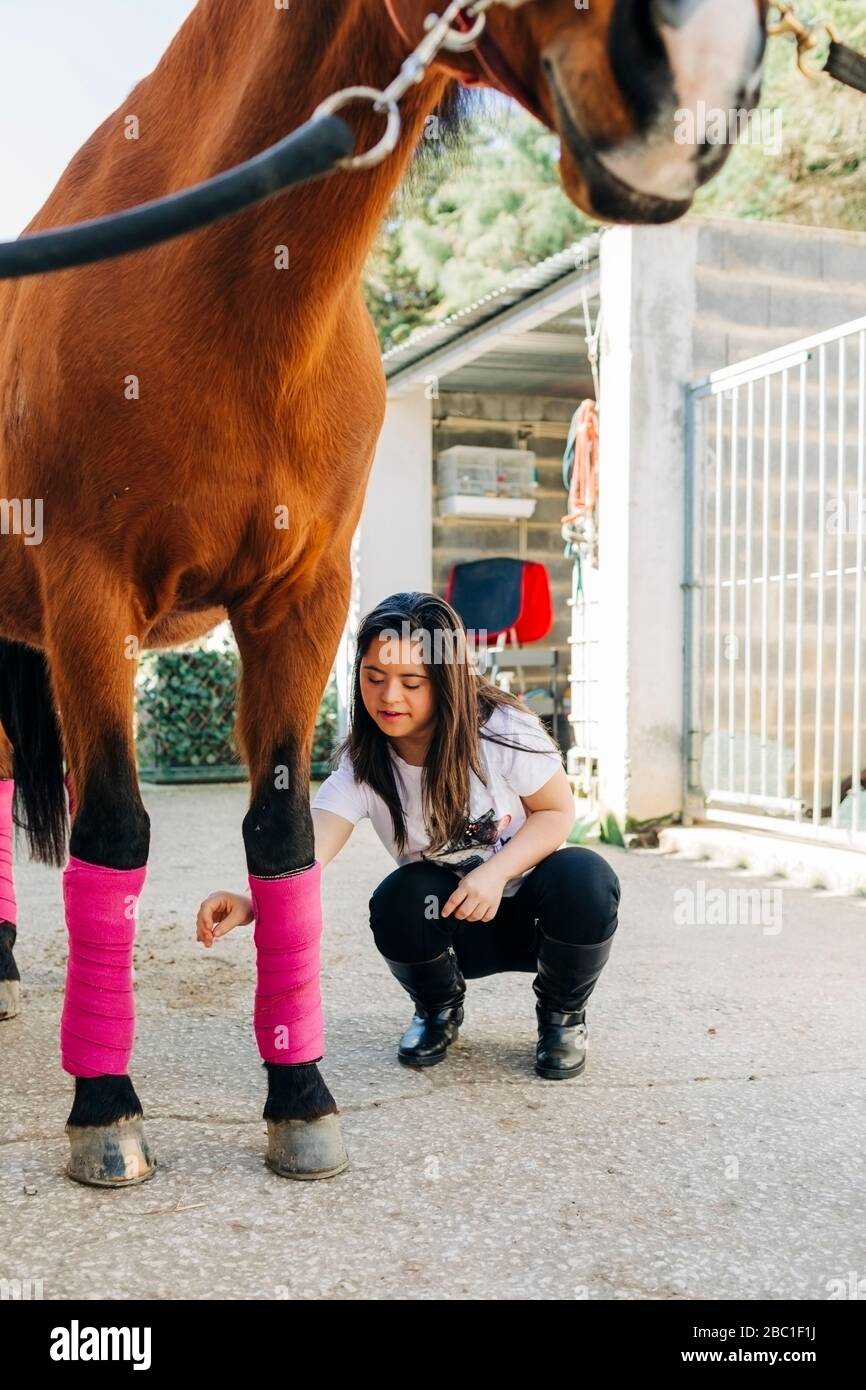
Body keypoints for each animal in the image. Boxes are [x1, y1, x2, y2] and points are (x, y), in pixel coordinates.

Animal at [0, 2, 767, 1184]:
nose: (703, 72)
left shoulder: (302, 602)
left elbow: (280, 838)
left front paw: (299, 1099)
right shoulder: (89, 594)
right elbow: (115, 833)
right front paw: (106, 1112)